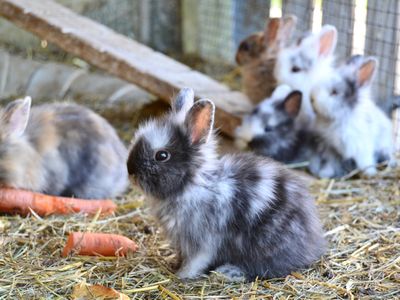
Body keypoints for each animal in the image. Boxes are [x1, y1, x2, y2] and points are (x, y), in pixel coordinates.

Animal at [126, 88, 326, 280]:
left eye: (162, 155)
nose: (130, 171)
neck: (191, 186)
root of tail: (312, 246)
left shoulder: (203, 241)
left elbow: (196, 261)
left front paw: (182, 275)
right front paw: (175, 265)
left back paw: (229, 272)